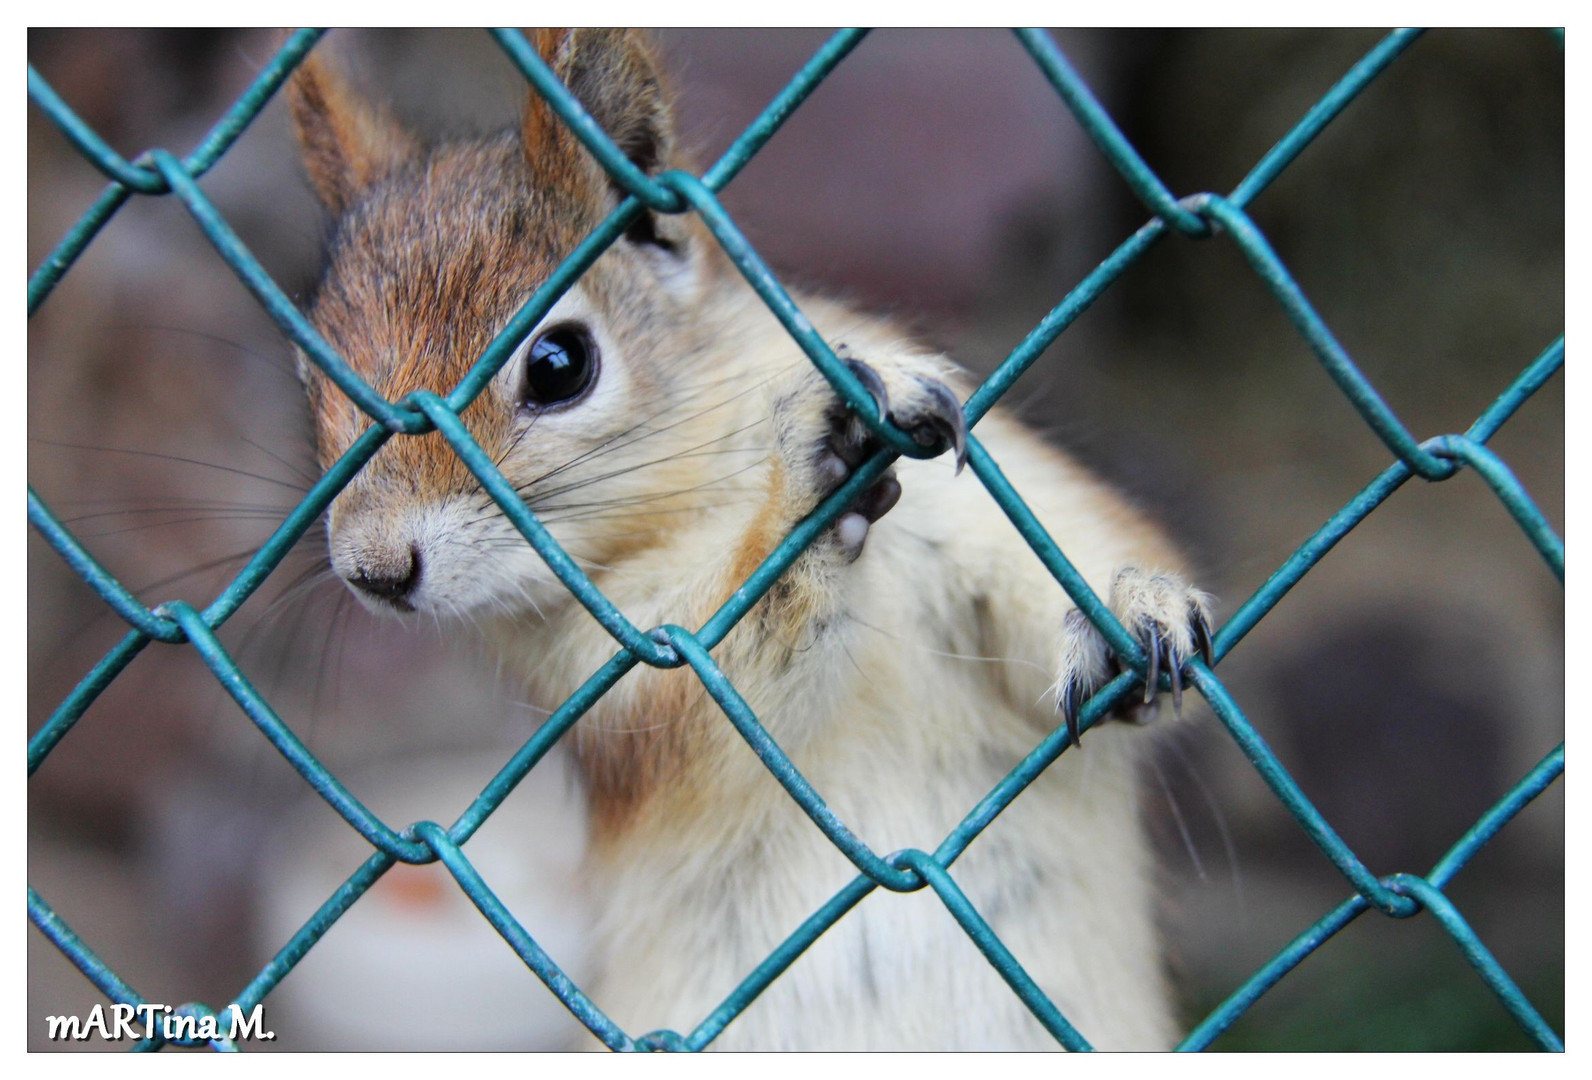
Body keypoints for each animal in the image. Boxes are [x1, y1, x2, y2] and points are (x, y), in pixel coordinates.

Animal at [283, 29, 1203, 1051]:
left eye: (560, 364)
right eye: (312, 377)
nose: (373, 570)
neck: (703, 495)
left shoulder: (975, 502)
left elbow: (1064, 560)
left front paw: (1132, 609)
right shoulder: (606, 669)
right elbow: (705, 698)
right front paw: (810, 474)